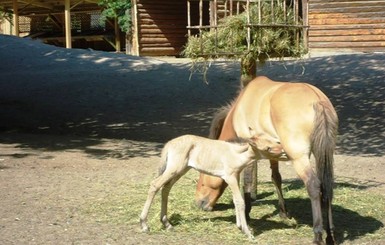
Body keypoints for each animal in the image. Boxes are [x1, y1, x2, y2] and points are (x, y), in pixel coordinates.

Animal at [140, 134, 284, 239]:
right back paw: (144, 224)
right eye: (267, 148)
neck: (236, 154)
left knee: (166, 188)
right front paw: (247, 232)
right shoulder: (229, 177)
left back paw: (167, 224)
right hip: (174, 168)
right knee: (155, 185)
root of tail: (169, 144)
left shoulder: (236, 176)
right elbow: (240, 201)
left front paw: (240, 227)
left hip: (181, 170)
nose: (284, 151)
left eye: (276, 141)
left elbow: (235, 200)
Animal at [195, 75, 336, 244]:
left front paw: (247, 214)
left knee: (313, 186)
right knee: (327, 188)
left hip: (299, 158)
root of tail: (317, 100)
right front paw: (283, 212)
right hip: (324, 155)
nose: (199, 203)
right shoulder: (273, 152)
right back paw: (330, 235)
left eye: (203, 177)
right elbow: (276, 178)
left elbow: (248, 181)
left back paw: (318, 235)